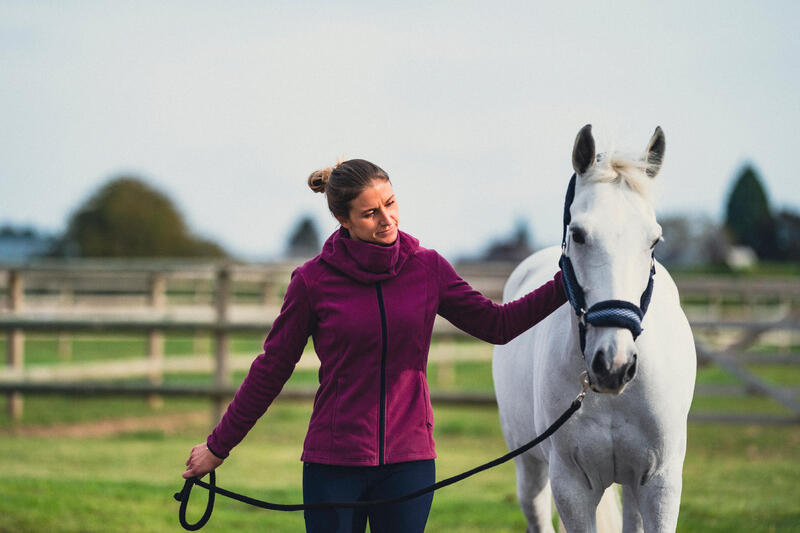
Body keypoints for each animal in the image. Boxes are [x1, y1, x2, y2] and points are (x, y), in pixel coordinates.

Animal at [494, 125, 692, 532]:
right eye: (580, 234)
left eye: (654, 240)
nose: (614, 365)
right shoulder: (571, 486)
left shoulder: (661, 484)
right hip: (530, 467)